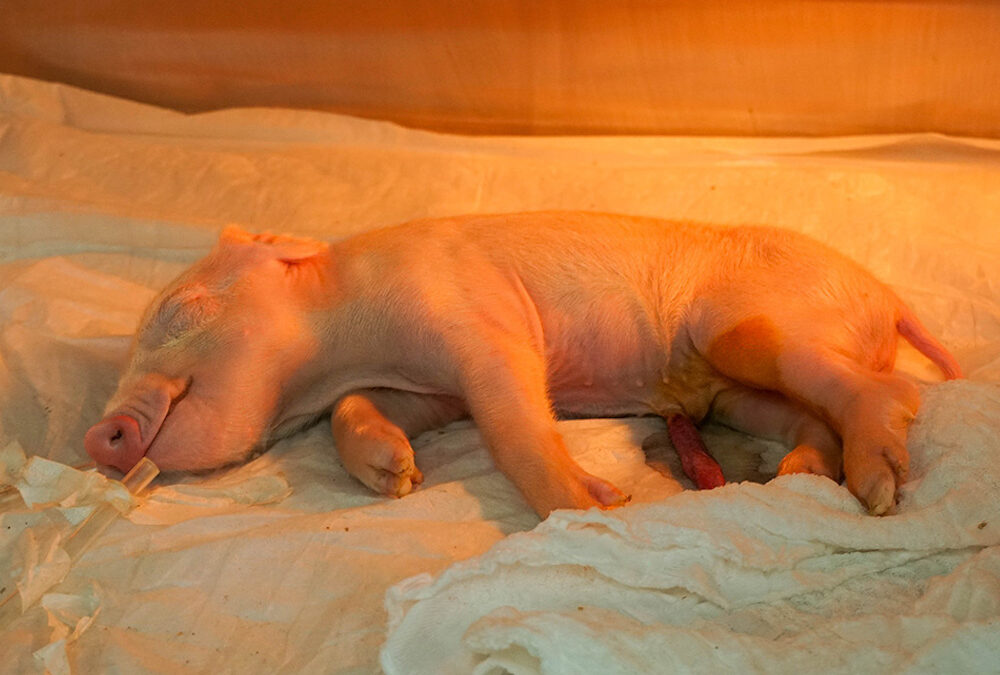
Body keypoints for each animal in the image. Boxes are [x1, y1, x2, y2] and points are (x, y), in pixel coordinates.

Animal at [84, 212, 961, 517]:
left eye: (178, 311)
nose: (97, 436)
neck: (346, 341)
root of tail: (888, 298)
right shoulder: (425, 388)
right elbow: (359, 412)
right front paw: (395, 476)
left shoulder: (477, 316)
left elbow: (511, 417)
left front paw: (598, 505)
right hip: (731, 393)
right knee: (809, 417)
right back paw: (799, 475)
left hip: (746, 327)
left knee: (892, 389)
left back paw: (878, 488)